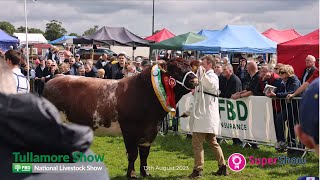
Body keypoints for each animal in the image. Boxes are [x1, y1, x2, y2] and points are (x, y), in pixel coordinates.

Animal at [42, 58, 198, 179]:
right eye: (176, 70)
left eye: (190, 67)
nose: (195, 79)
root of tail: (56, 77)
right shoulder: (130, 129)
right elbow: (133, 154)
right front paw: (132, 174)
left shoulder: (151, 130)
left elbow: (144, 154)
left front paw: (145, 173)